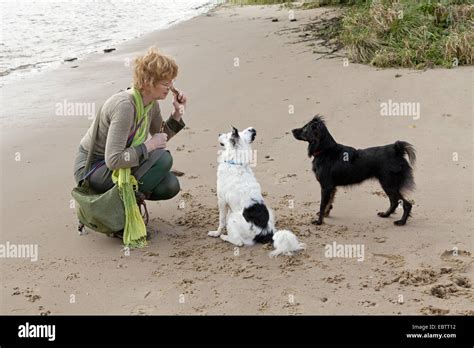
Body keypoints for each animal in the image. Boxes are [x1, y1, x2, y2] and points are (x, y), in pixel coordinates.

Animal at [208, 126, 306, 256]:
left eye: (227, 134)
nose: (219, 134)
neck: (235, 162)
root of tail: (267, 232)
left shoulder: (222, 200)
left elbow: (222, 220)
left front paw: (216, 233)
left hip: (233, 218)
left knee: (239, 242)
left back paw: (224, 237)